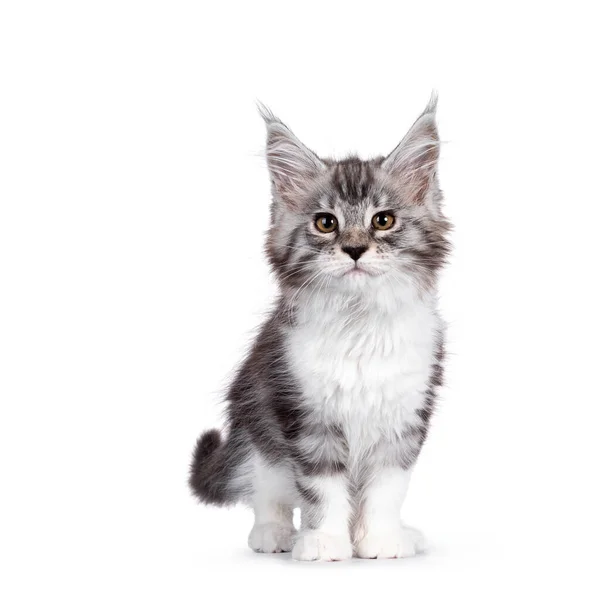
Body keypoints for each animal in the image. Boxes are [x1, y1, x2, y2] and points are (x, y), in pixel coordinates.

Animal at [189, 96, 450, 560]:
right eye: (326, 223)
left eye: (383, 220)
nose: (355, 249)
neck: (360, 320)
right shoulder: (306, 415)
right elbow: (323, 489)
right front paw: (327, 541)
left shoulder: (403, 419)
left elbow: (387, 488)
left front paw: (381, 538)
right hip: (257, 432)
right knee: (266, 493)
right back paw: (274, 534)